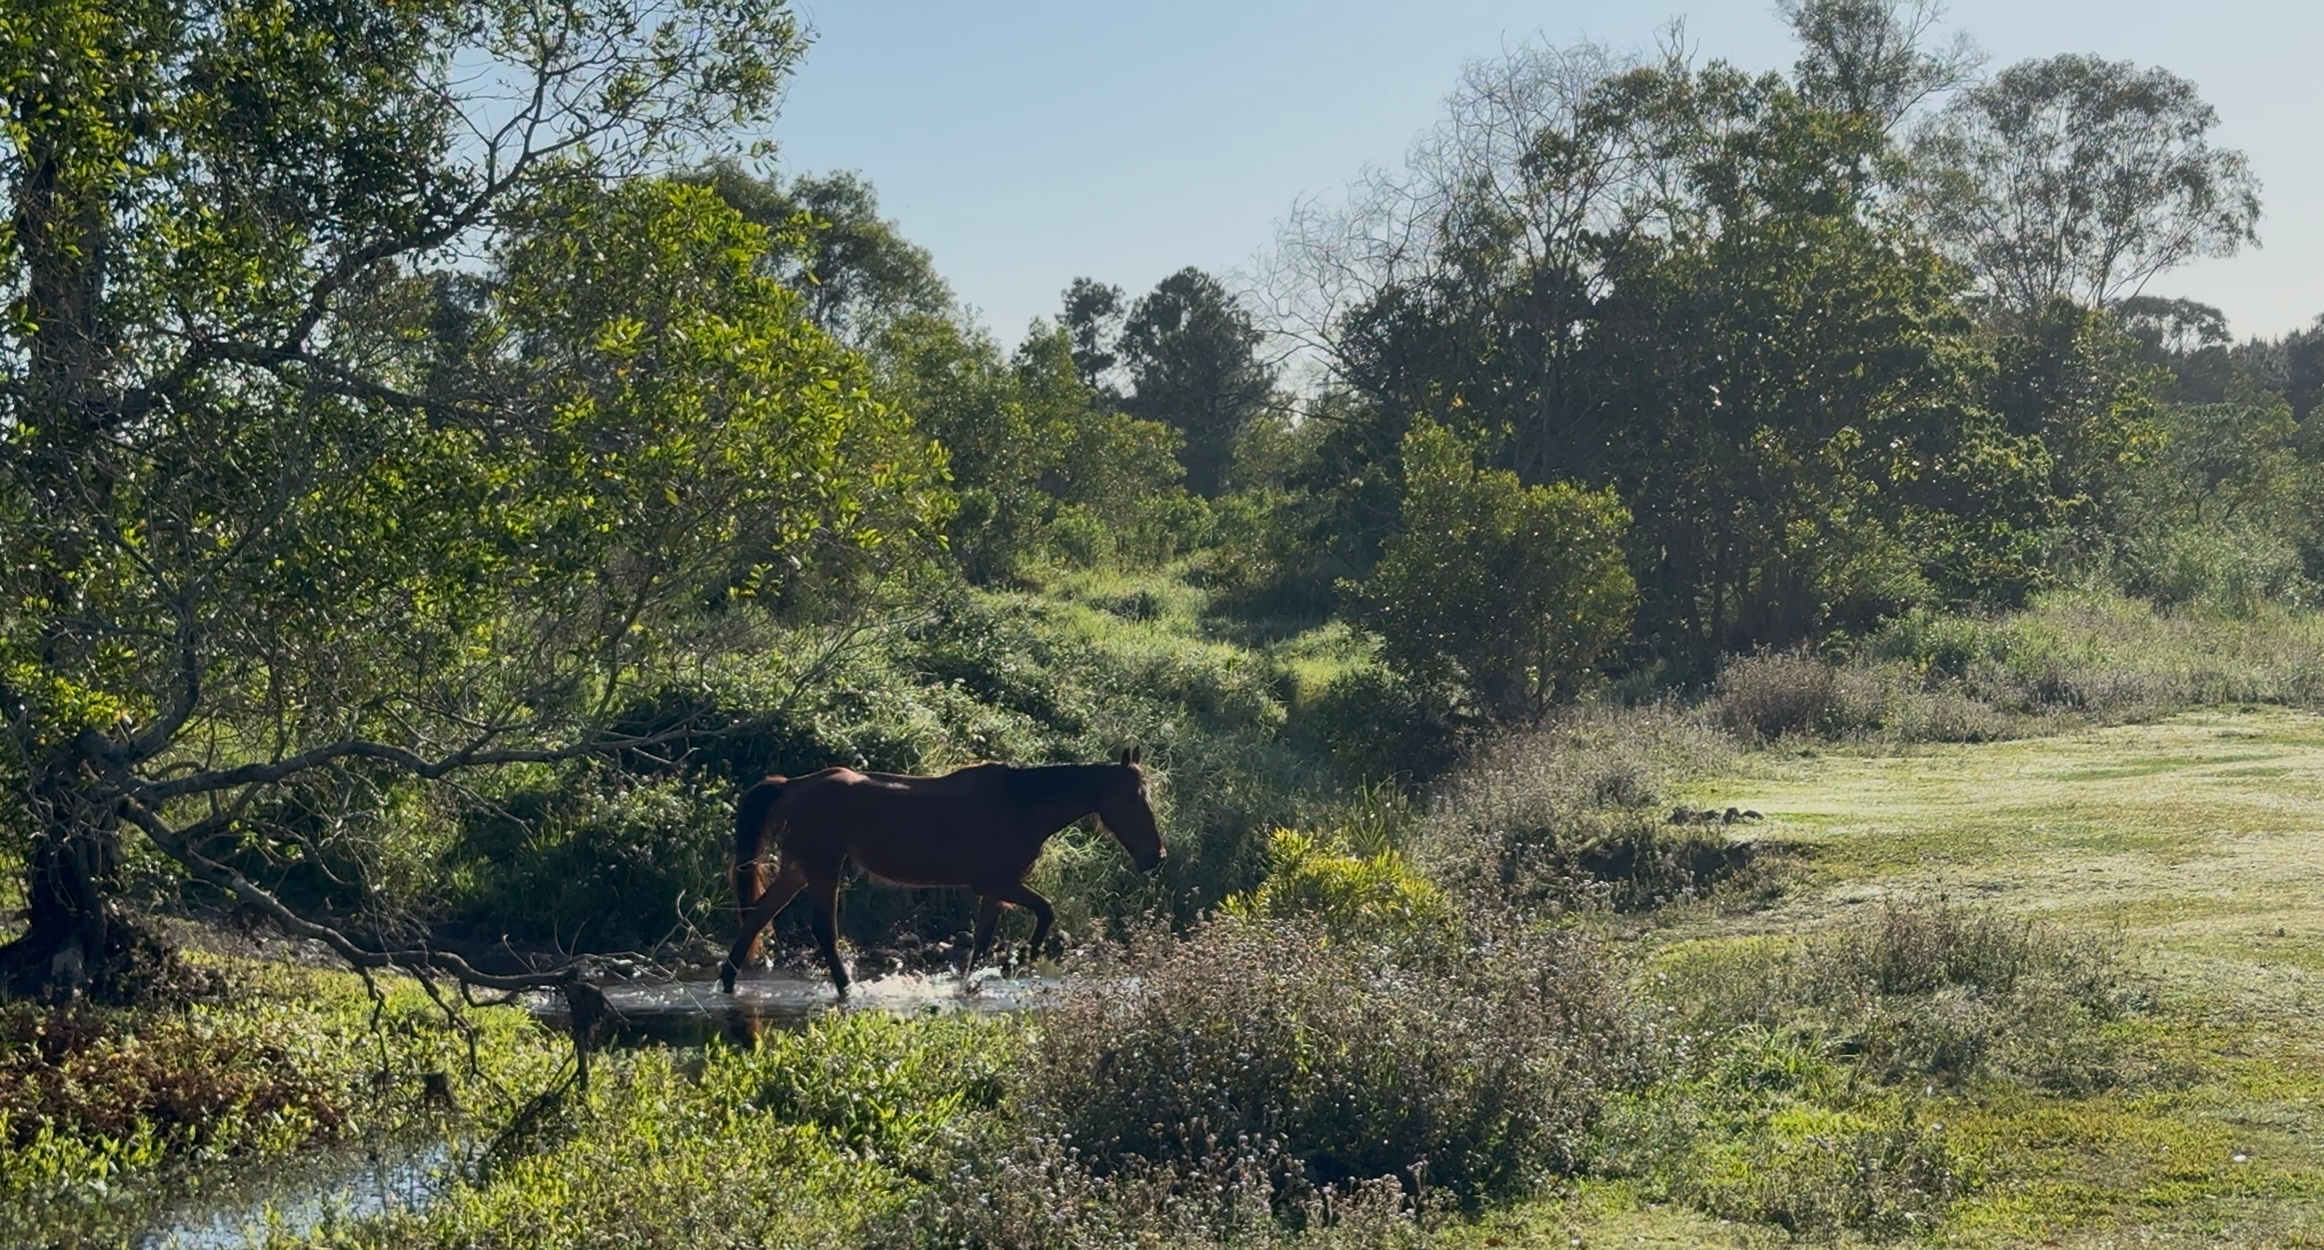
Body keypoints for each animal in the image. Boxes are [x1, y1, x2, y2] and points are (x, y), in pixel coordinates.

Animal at [717, 746, 1164, 997]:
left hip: (799, 868)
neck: (1021, 805)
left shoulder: (994, 891)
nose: (1156, 856)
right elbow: (1046, 911)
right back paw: (847, 988)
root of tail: (791, 785)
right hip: (823, 868)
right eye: (1134, 797)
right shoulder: (997, 883)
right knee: (822, 929)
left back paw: (728, 981)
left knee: (758, 915)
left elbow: (982, 941)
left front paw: (975, 981)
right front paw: (1019, 960)